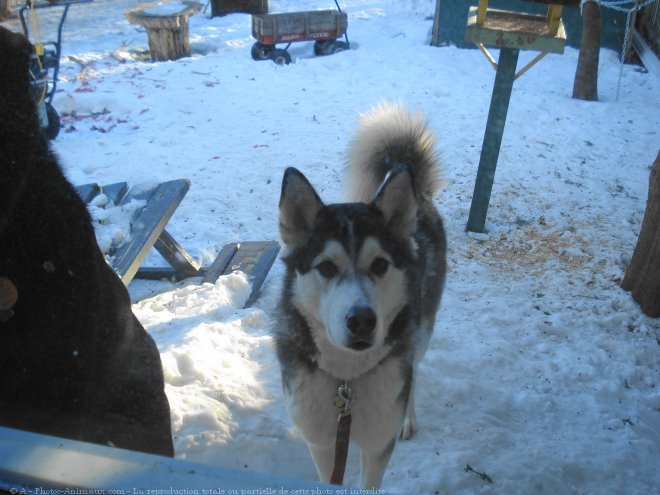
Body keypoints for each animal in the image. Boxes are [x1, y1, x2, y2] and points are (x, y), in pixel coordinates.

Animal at [274, 102, 448, 490]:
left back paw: (408, 418)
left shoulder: (378, 444)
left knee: (414, 369)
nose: (362, 320)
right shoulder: (321, 442)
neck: (347, 384)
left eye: (380, 264)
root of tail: (419, 198)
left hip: (422, 329)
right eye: (326, 267)